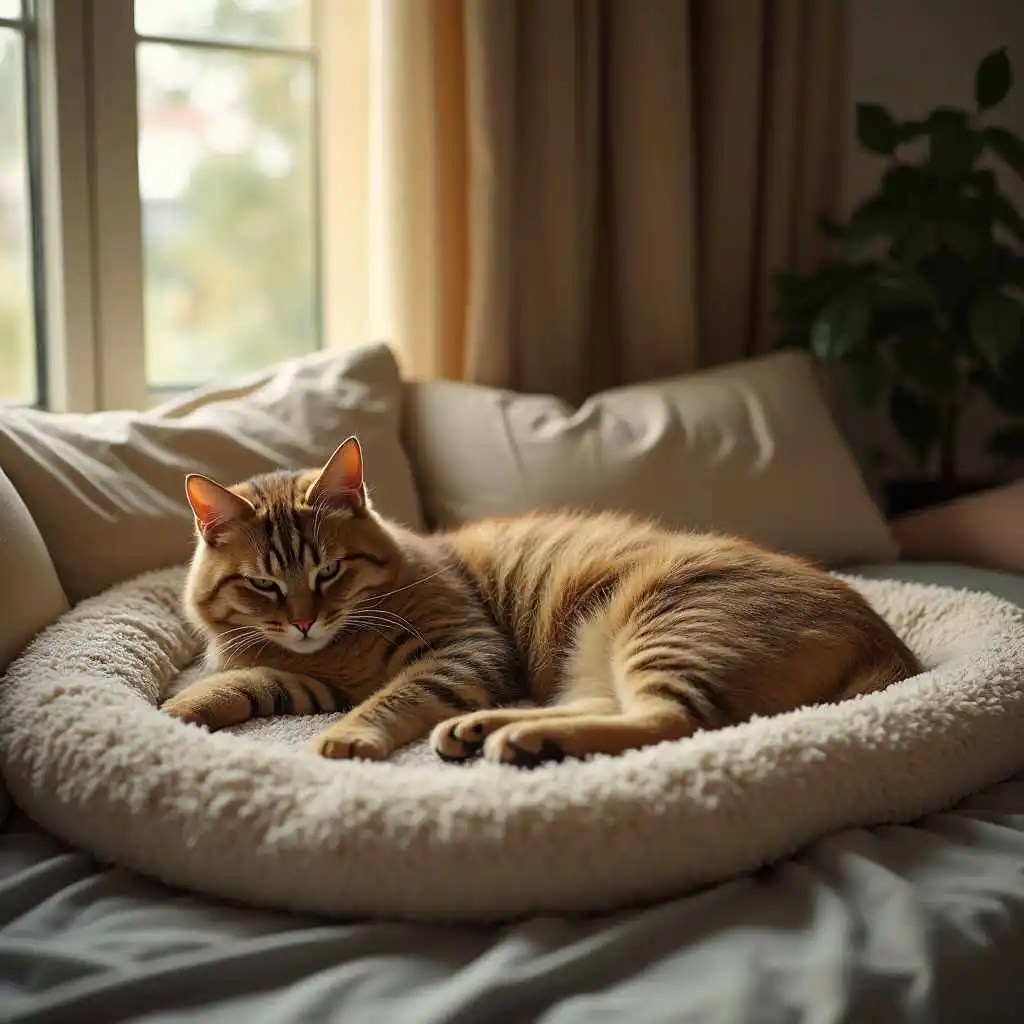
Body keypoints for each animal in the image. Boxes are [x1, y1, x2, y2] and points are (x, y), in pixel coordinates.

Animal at [163, 436, 925, 765]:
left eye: (329, 571)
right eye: (264, 583)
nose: (302, 619)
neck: (338, 649)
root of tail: (890, 643)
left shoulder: (464, 648)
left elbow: (394, 697)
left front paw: (350, 736)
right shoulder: (313, 676)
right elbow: (251, 682)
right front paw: (182, 709)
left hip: (666, 628)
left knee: (671, 722)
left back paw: (521, 740)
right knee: (617, 710)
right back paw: (487, 731)